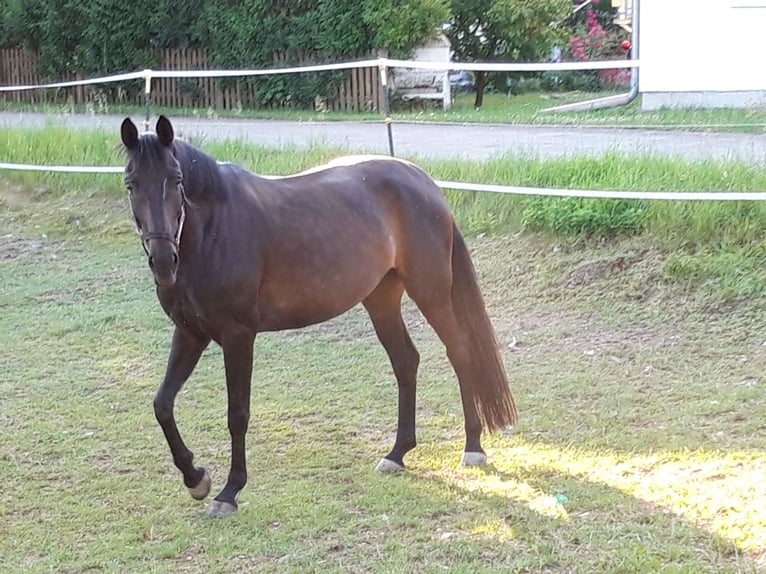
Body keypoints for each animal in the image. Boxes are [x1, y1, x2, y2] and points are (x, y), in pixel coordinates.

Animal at [120, 115, 517, 517]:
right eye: (131, 182)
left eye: (177, 180)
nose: (163, 262)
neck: (213, 227)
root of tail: (425, 183)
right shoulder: (190, 334)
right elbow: (162, 405)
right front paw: (196, 478)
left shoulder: (238, 336)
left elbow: (237, 414)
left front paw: (229, 491)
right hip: (381, 299)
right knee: (406, 361)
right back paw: (397, 453)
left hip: (431, 292)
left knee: (460, 352)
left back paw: (472, 447)